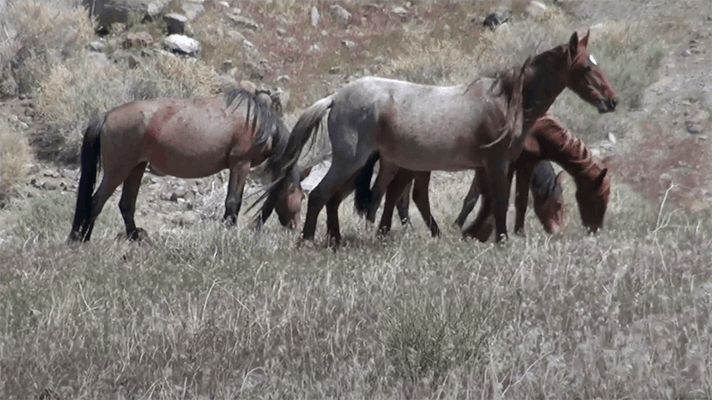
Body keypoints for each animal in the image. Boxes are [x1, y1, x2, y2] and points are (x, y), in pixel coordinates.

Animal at [67, 88, 308, 243]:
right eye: (301, 196)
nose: (296, 226)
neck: (258, 123)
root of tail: (106, 116)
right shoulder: (241, 164)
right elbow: (233, 202)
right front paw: (228, 231)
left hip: (136, 168)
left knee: (126, 205)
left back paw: (136, 237)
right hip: (118, 170)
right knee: (96, 201)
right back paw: (84, 239)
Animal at [353, 30, 617, 242]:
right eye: (586, 67)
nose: (612, 100)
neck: (514, 107)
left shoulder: (510, 164)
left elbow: (500, 198)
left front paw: (483, 232)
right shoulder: (500, 163)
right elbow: (497, 199)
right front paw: (489, 234)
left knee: (397, 193)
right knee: (394, 193)